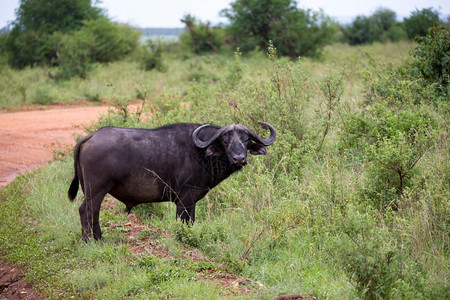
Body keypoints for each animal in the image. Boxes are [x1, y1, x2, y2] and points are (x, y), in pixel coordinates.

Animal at [68, 122, 276, 241]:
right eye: (225, 141)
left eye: (246, 140)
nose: (239, 158)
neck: (201, 153)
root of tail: (92, 136)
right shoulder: (184, 199)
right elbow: (184, 221)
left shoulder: (191, 201)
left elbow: (191, 221)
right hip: (96, 190)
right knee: (86, 211)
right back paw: (88, 240)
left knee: (93, 212)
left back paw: (99, 239)